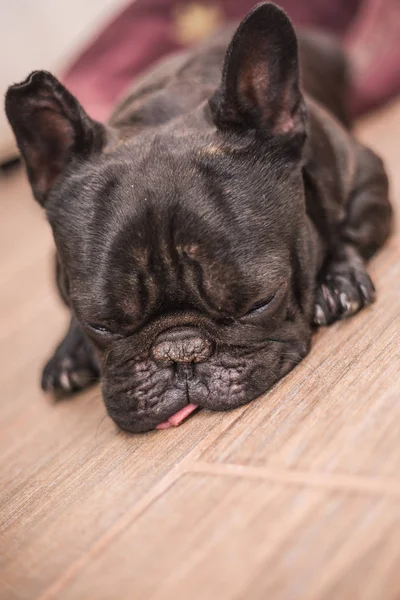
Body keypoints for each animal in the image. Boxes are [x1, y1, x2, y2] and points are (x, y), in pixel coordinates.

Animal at [4, 1, 392, 432]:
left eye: (261, 302)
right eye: (100, 324)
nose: (180, 351)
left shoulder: (367, 178)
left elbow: (349, 229)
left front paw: (337, 280)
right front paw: (70, 348)